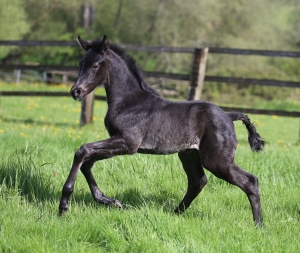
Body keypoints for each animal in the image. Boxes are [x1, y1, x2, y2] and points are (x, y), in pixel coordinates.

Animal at [59, 35, 264, 225]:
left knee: (250, 181)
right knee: (198, 181)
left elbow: (82, 151)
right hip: (189, 154)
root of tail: (229, 116)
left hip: (217, 160)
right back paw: (176, 213)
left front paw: (64, 205)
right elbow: (86, 162)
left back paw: (259, 225)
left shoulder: (128, 143)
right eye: (81, 63)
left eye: (95, 65)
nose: (75, 91)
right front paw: (109, 201)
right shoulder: (119, 144)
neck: (128, 102)